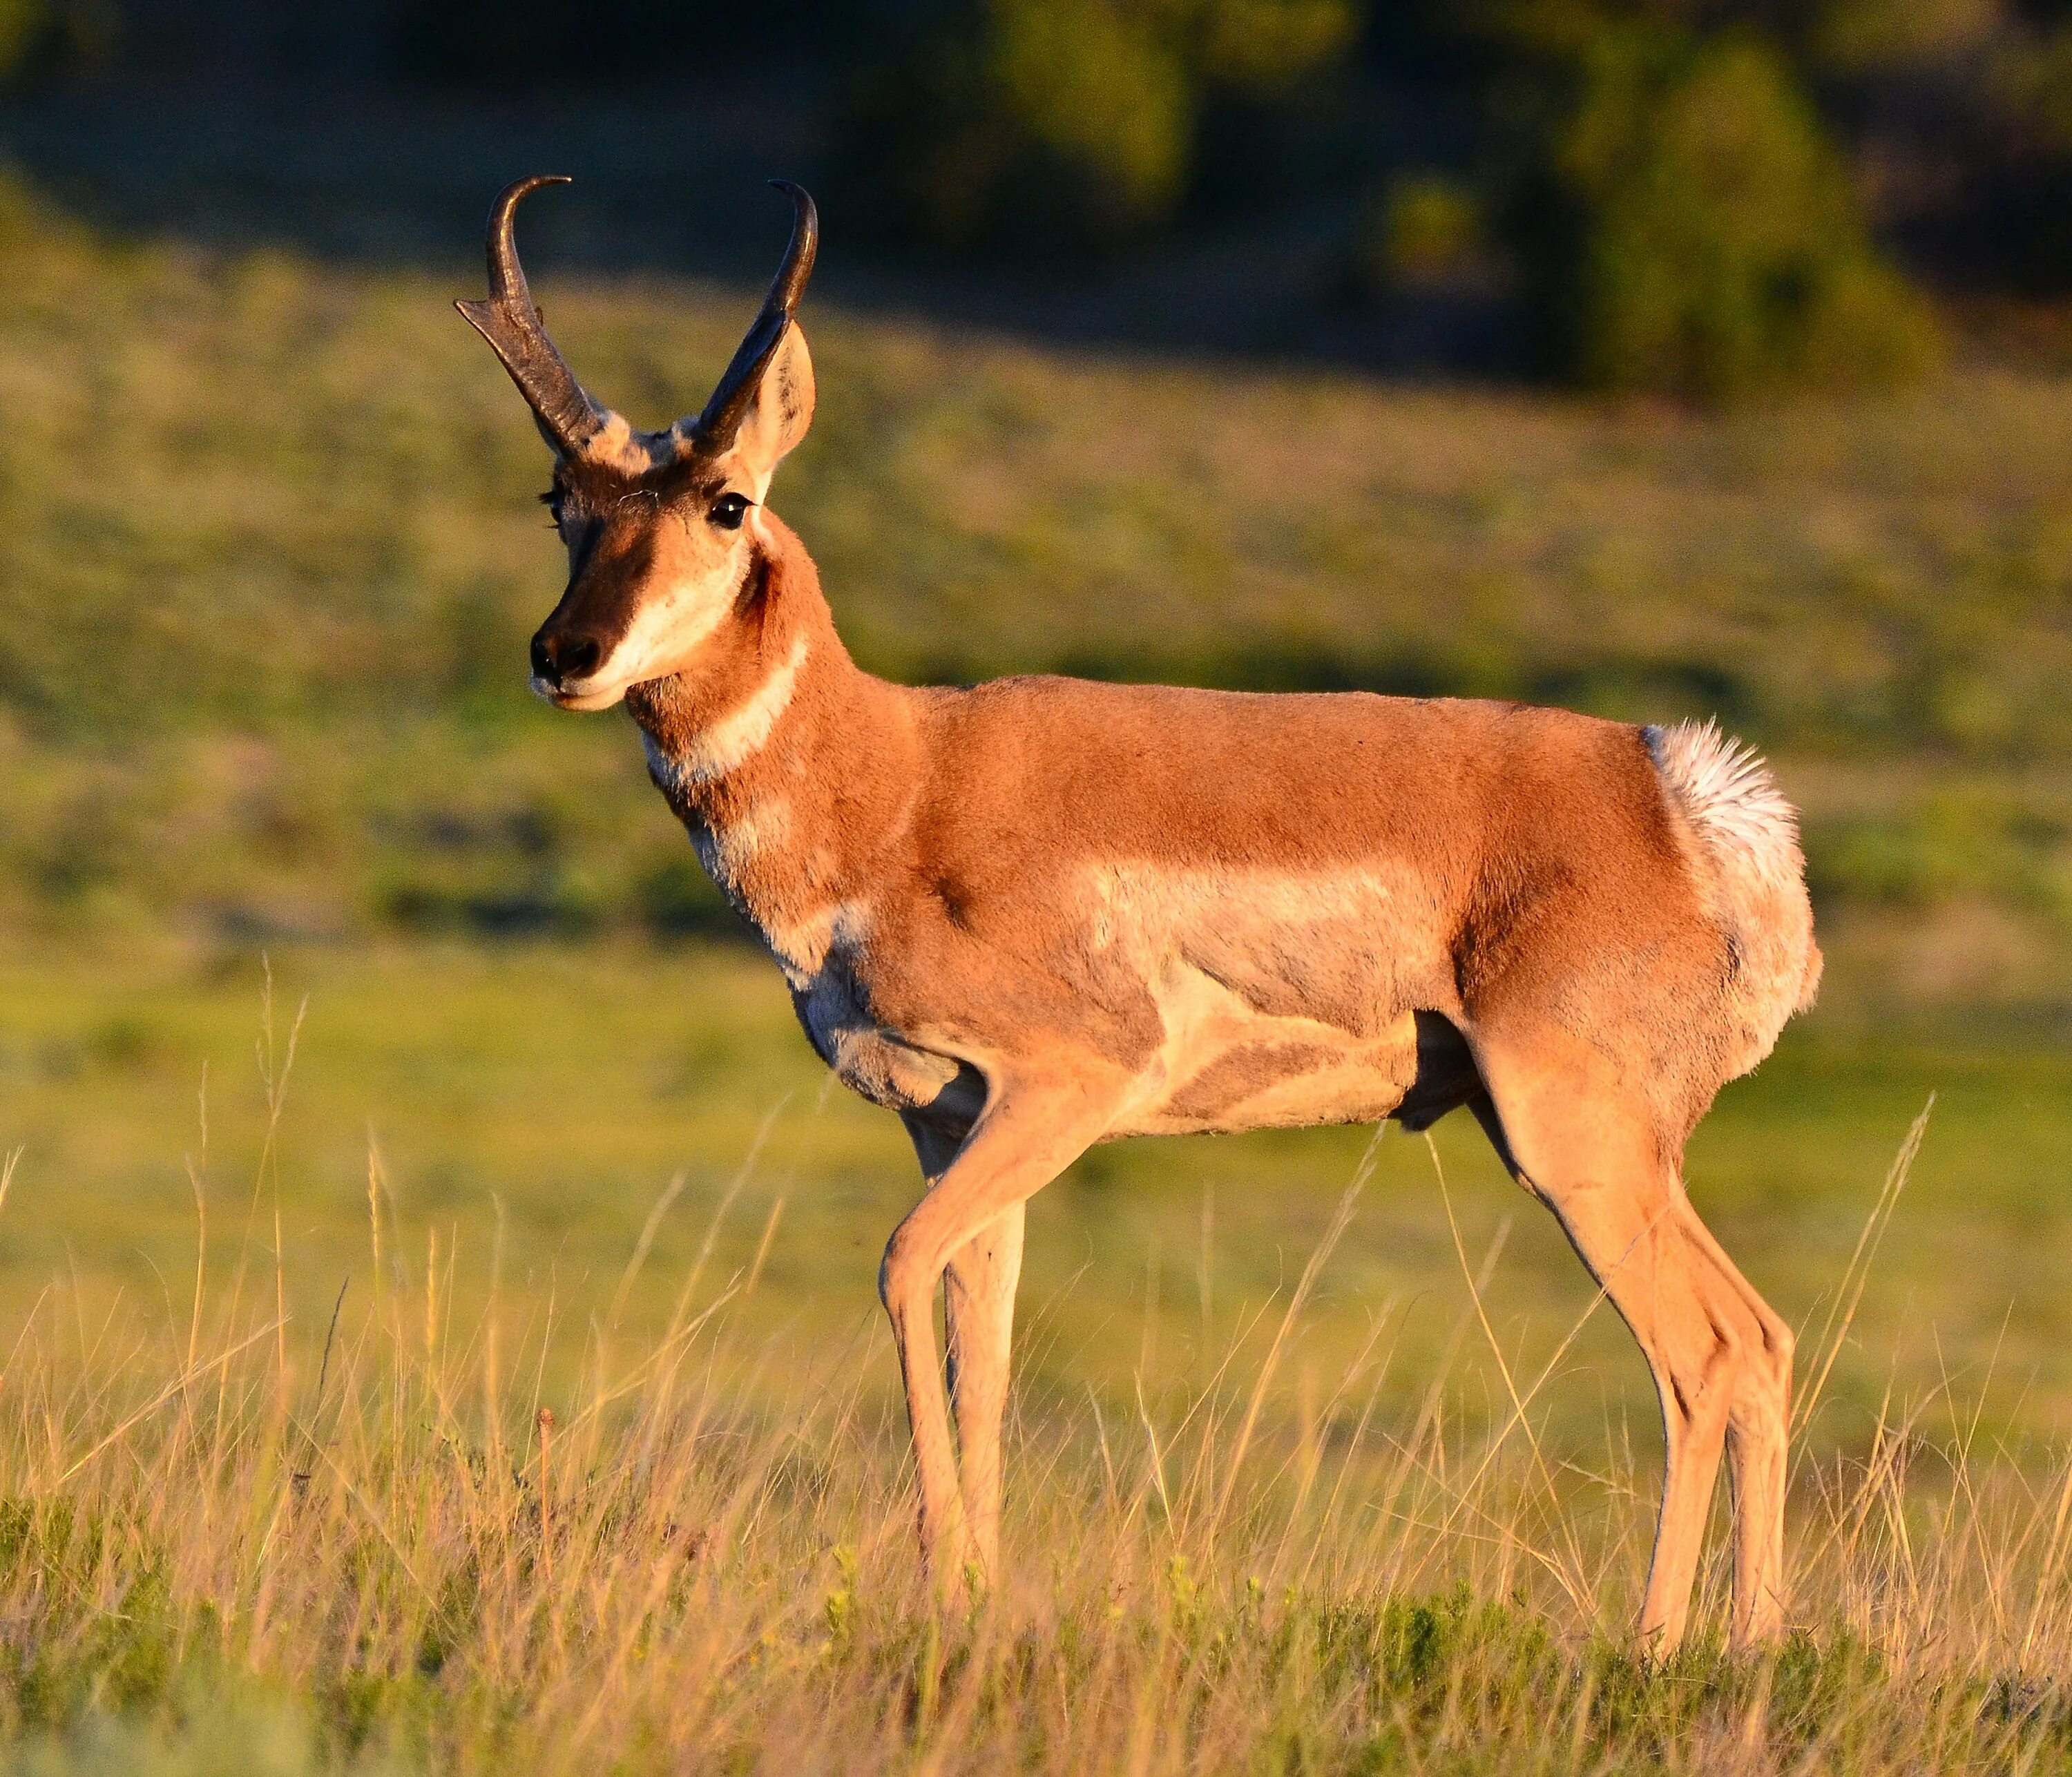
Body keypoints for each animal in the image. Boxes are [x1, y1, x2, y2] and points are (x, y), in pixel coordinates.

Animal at [462, 177, 1823, 1649]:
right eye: (559, 497)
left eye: (724, 501)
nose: (565, 654)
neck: (902, 779)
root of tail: (1673, 789)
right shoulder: (954, 1126)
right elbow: (983, 1352)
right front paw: (975, 1598)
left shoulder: (1071, 1081)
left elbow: (898, 1270)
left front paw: (944, 1592)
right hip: (1611, 1152)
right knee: (1762, 1339)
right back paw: (1755, 1640)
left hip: (1575, 1142)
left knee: (1704, 1352)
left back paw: (1658, 1643)